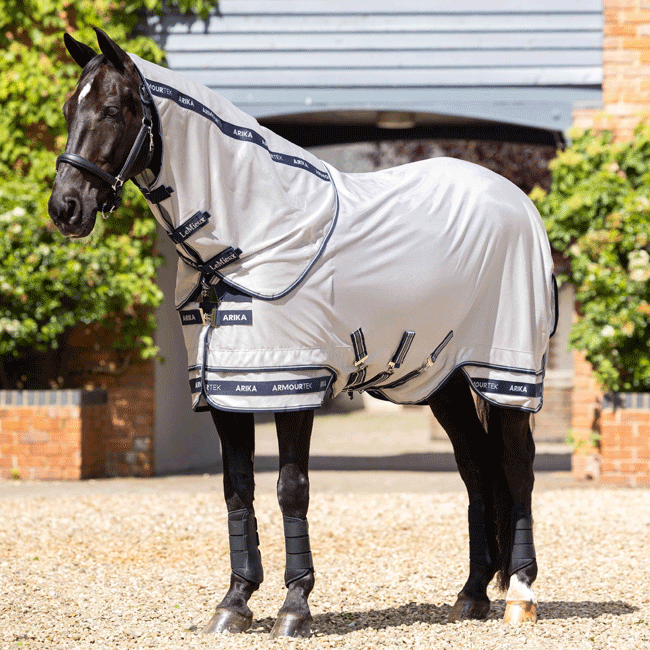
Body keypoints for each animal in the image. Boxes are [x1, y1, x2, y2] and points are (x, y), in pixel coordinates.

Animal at [48, 28, 556, 638]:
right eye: (68, 107)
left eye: (111, 109)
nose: (65, 207)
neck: (253, 234)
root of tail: (518, 202)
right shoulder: (225, 391)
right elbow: (236, 488)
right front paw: (234, 602)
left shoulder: (292, 383)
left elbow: (291, 490)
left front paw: (294, 606)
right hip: (445, 380)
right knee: (476, 468)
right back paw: (472, 595)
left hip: (505, 375)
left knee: (517, 467)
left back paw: (520, 595)